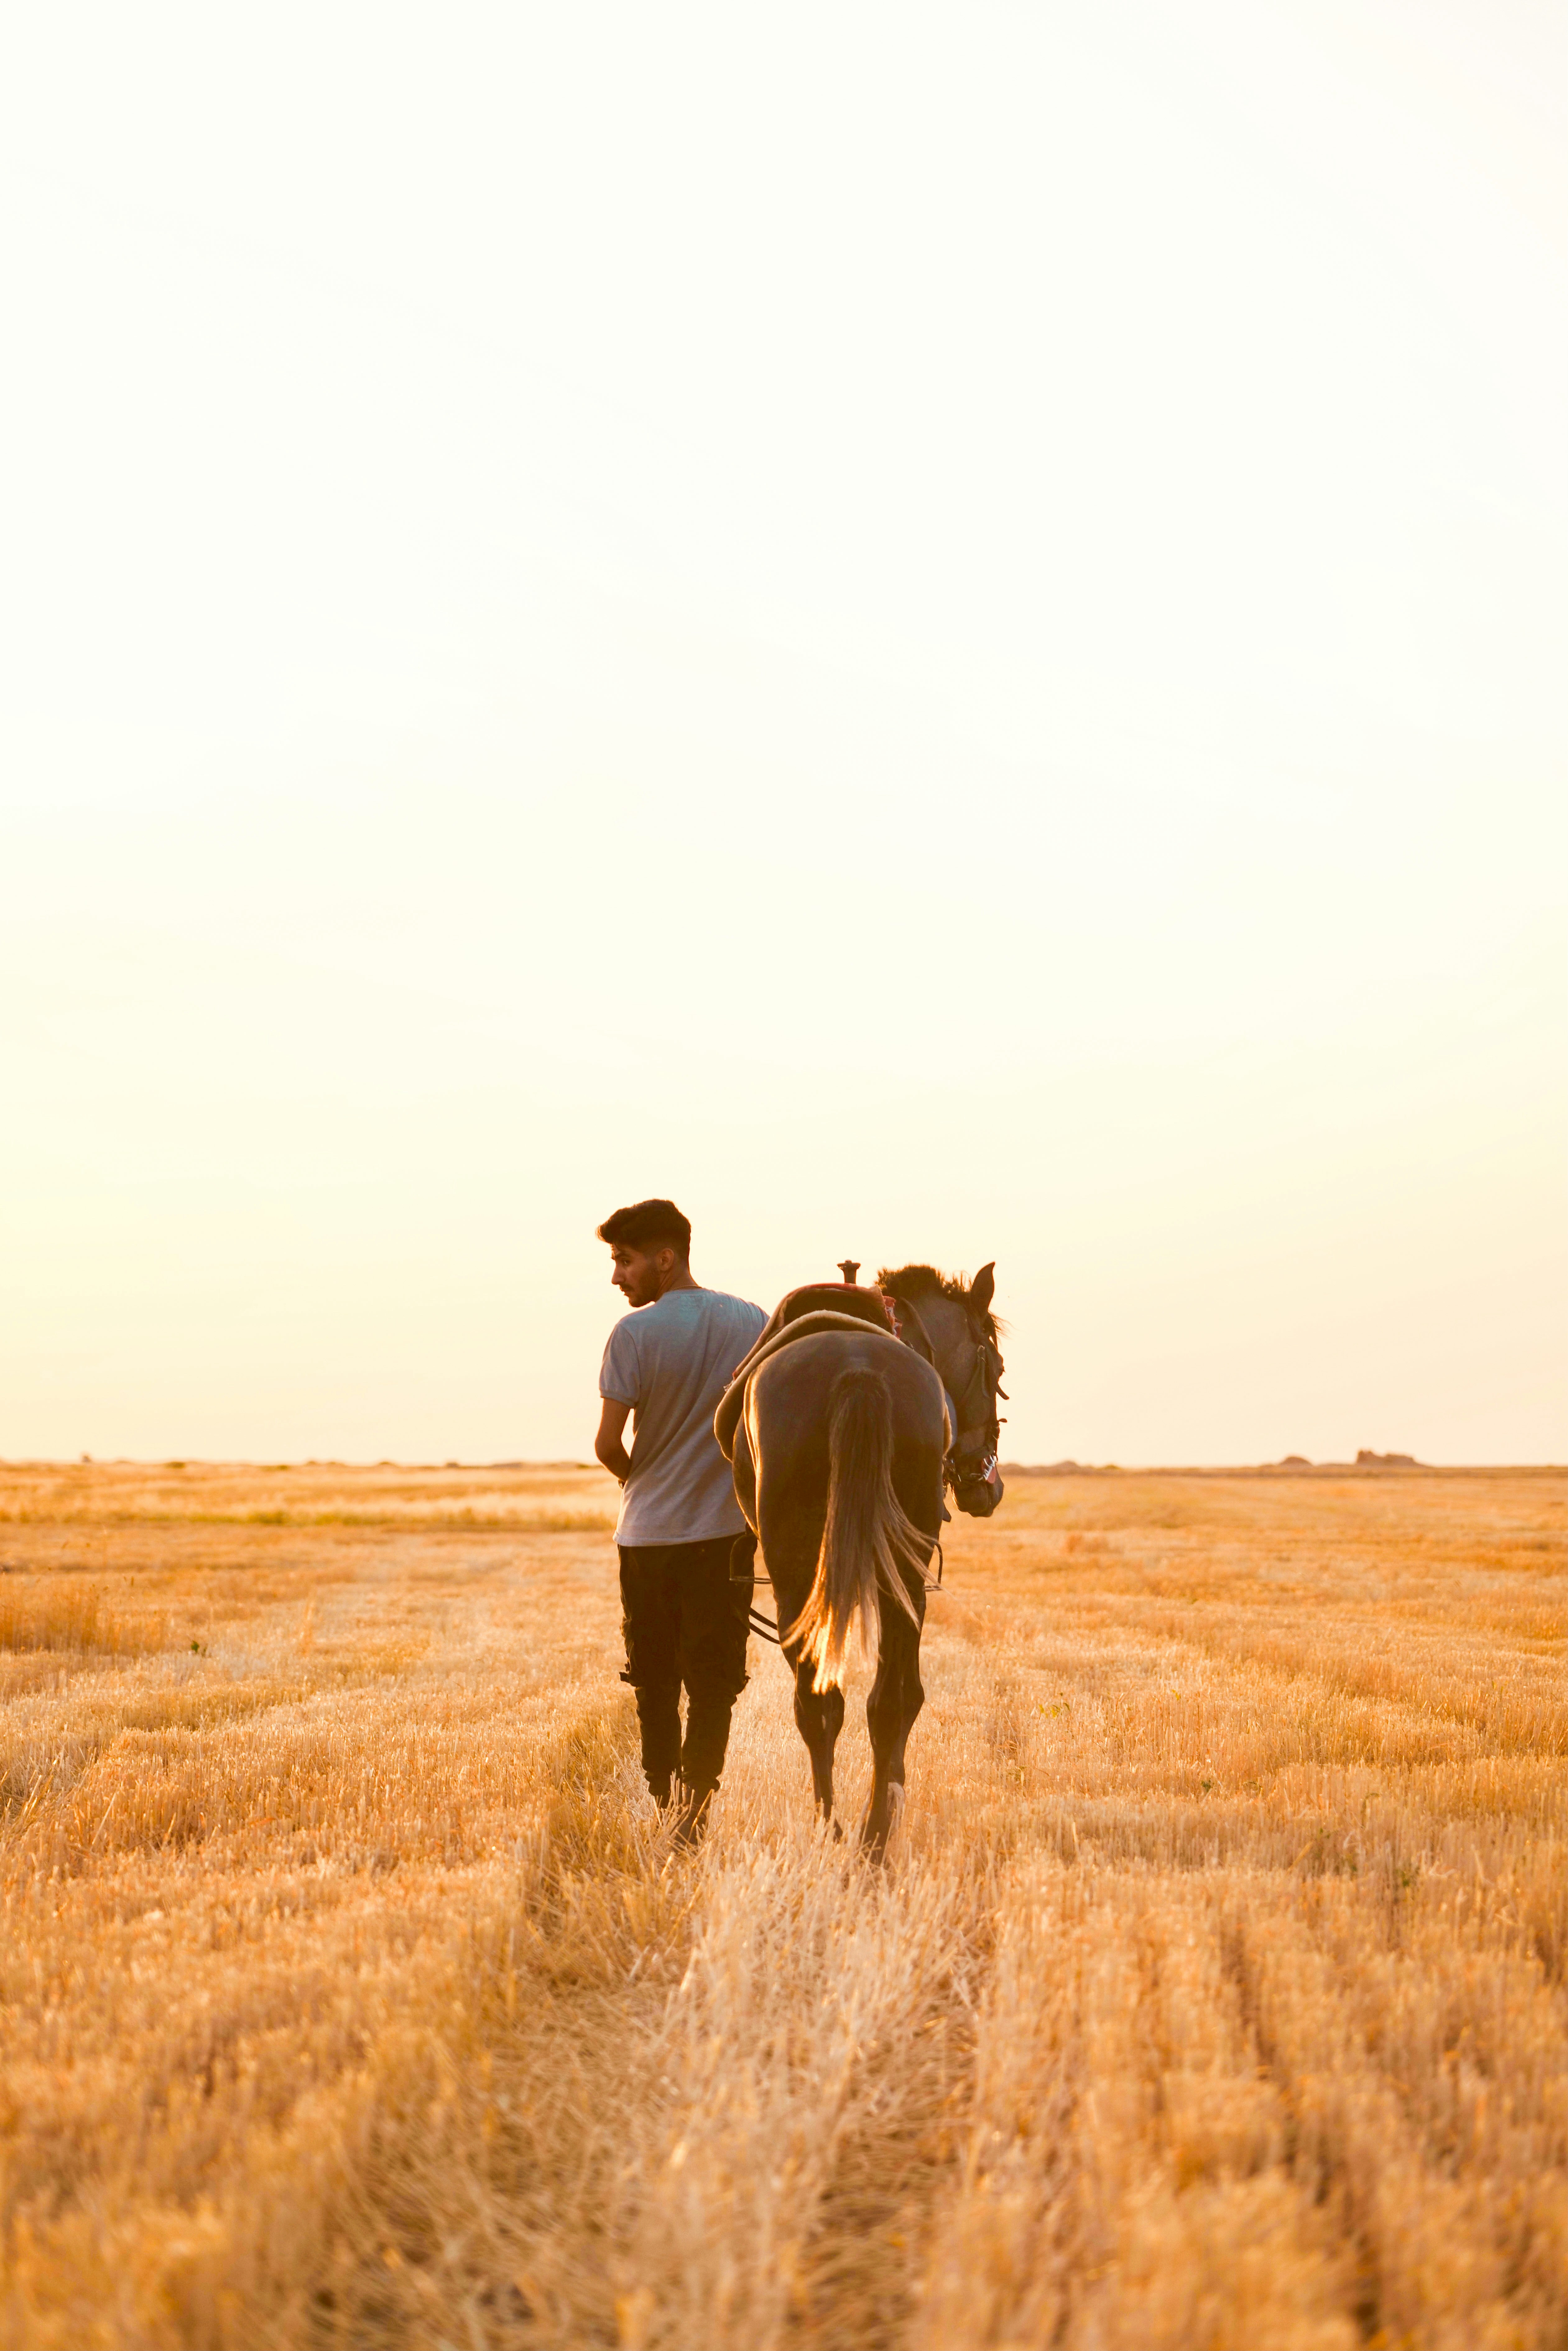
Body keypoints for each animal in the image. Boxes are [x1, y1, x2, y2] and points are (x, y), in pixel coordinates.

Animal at [716, 1262, 1006, 1853]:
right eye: (995, 1367)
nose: (988, 1485)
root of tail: (857, 1371)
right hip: (902, 1571)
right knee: (888, 1701)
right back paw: (872, 1836)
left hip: (799, 1577)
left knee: (823, 1703)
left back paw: (837, 1830)